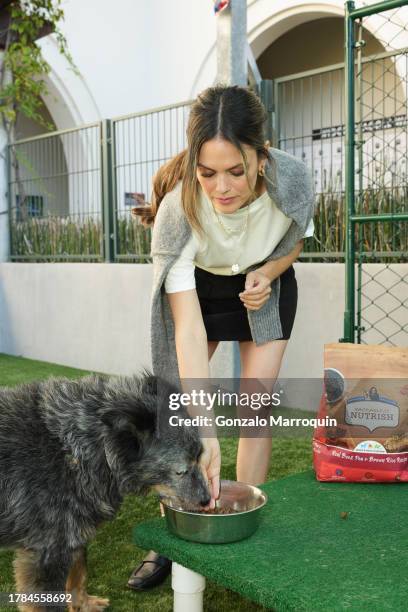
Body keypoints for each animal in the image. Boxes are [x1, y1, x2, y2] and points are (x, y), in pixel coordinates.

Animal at [0, 370, 210, 608]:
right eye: (181, 470)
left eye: (200, 456)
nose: (207, 499)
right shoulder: (46, 553)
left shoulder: (74, 534)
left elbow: (80, 573)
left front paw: (83, 605)